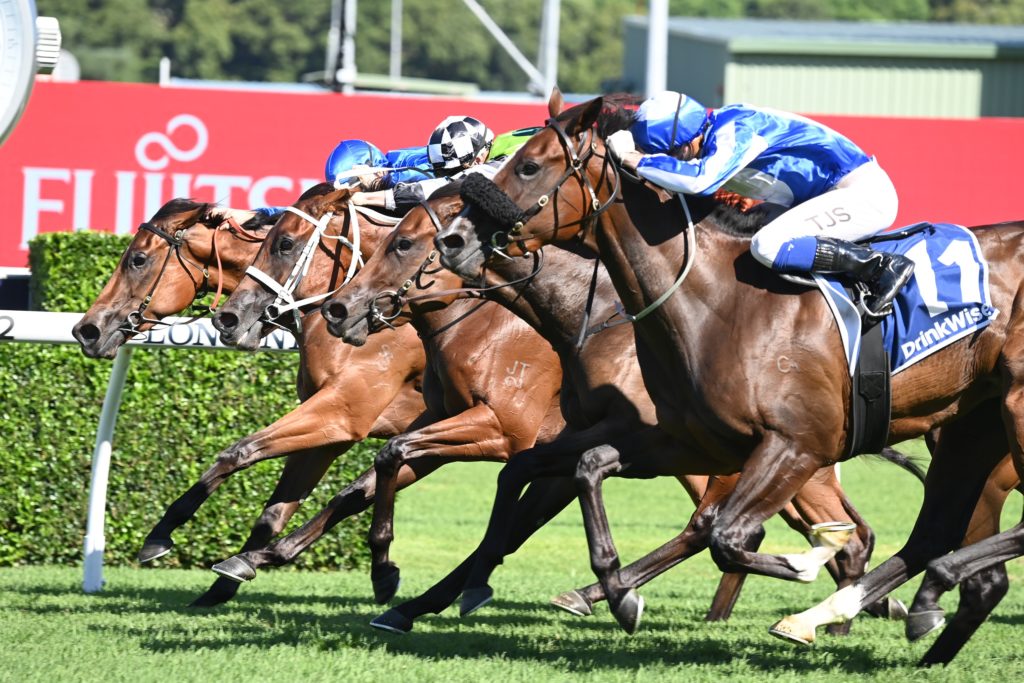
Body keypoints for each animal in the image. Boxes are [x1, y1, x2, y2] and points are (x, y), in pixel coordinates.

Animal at [73, 194, 427, 607]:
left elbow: (239, 451)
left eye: (138, 259)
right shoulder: (332, 425)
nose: (85, 330)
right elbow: (275, 511)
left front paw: (161, 534)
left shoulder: (344, 409)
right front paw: (224, 582)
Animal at [318, 189, 921, 634]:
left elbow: (415, 459)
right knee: (829, 534)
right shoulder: (554, 437)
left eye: (404, 243)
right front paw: (432, 589)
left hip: (775, 457)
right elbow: (485, 484)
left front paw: (390, 572)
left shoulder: (539, 430)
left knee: (740, 528)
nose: (338, 309)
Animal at [433, 89, 1024, 663]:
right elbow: (590, 468)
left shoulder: (797, 444)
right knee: (939, 534)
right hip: (972, 429)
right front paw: (619, 596)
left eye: (529, 165)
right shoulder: (693, 440)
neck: (722, 303)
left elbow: (728, 535)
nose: (453, 240)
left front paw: (813, 555)